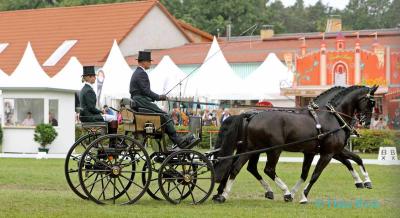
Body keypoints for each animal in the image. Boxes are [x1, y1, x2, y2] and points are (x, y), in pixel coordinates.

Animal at [214, 84, 376, 204]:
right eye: (371, 103)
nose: (367, 123)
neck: (332, 117)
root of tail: (250, 116)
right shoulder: (328, 153)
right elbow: (316, 175)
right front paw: (303, 196)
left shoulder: (319, 152)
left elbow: (354, 159)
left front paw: (364, 181)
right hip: (274, 150)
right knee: (268, 169)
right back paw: (284, 192)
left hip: (250, 148)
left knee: (236, 168)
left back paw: (224, 194)